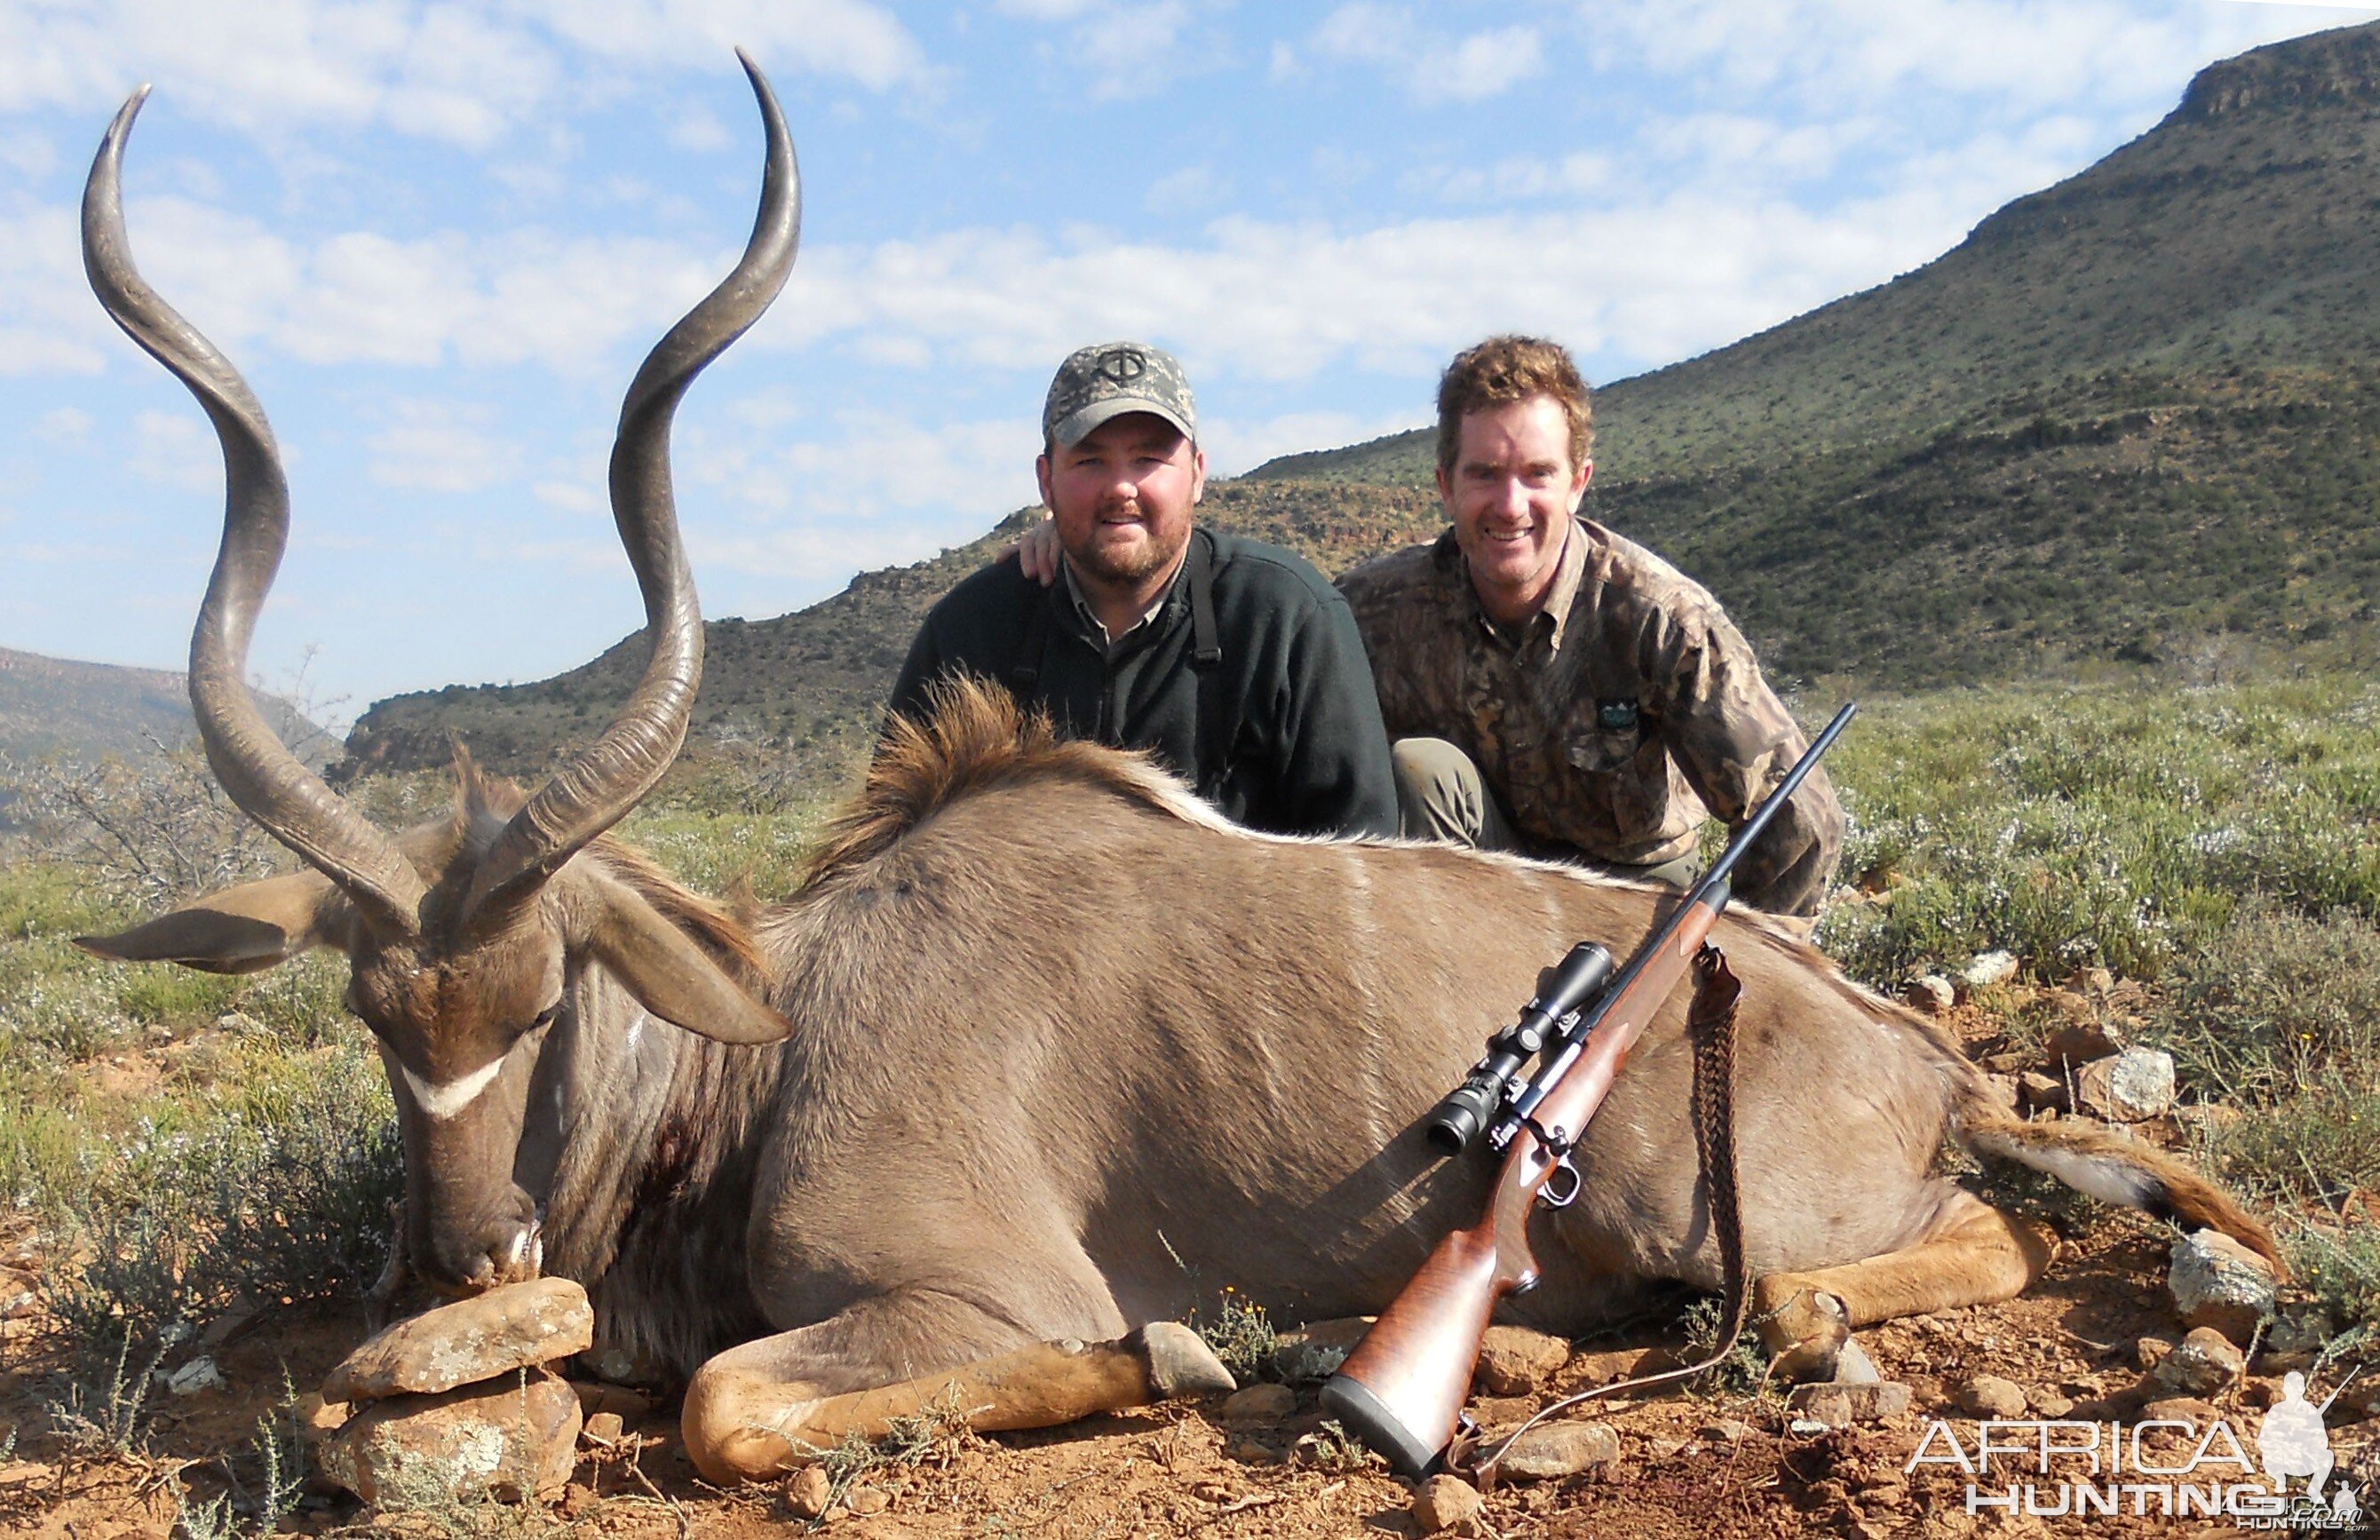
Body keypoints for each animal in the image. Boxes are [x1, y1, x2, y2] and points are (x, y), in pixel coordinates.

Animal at [79, 57, 2284, 1485]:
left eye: (548, 997)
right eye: (374, 1012)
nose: (464, 1256)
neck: (772, 1037)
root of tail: (1925, 1060)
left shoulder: (970, 1289)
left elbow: (737, 1403)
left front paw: (1159, 1360)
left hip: (1699, 1211)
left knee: (1934, 1256)